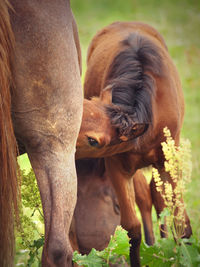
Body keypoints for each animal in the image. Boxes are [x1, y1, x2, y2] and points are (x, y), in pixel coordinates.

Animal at [75, 22, 192, 266]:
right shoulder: (118, 167)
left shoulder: (169, 161)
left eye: (93, 140)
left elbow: (180, 221)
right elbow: (131, 229)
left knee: (156, 198)